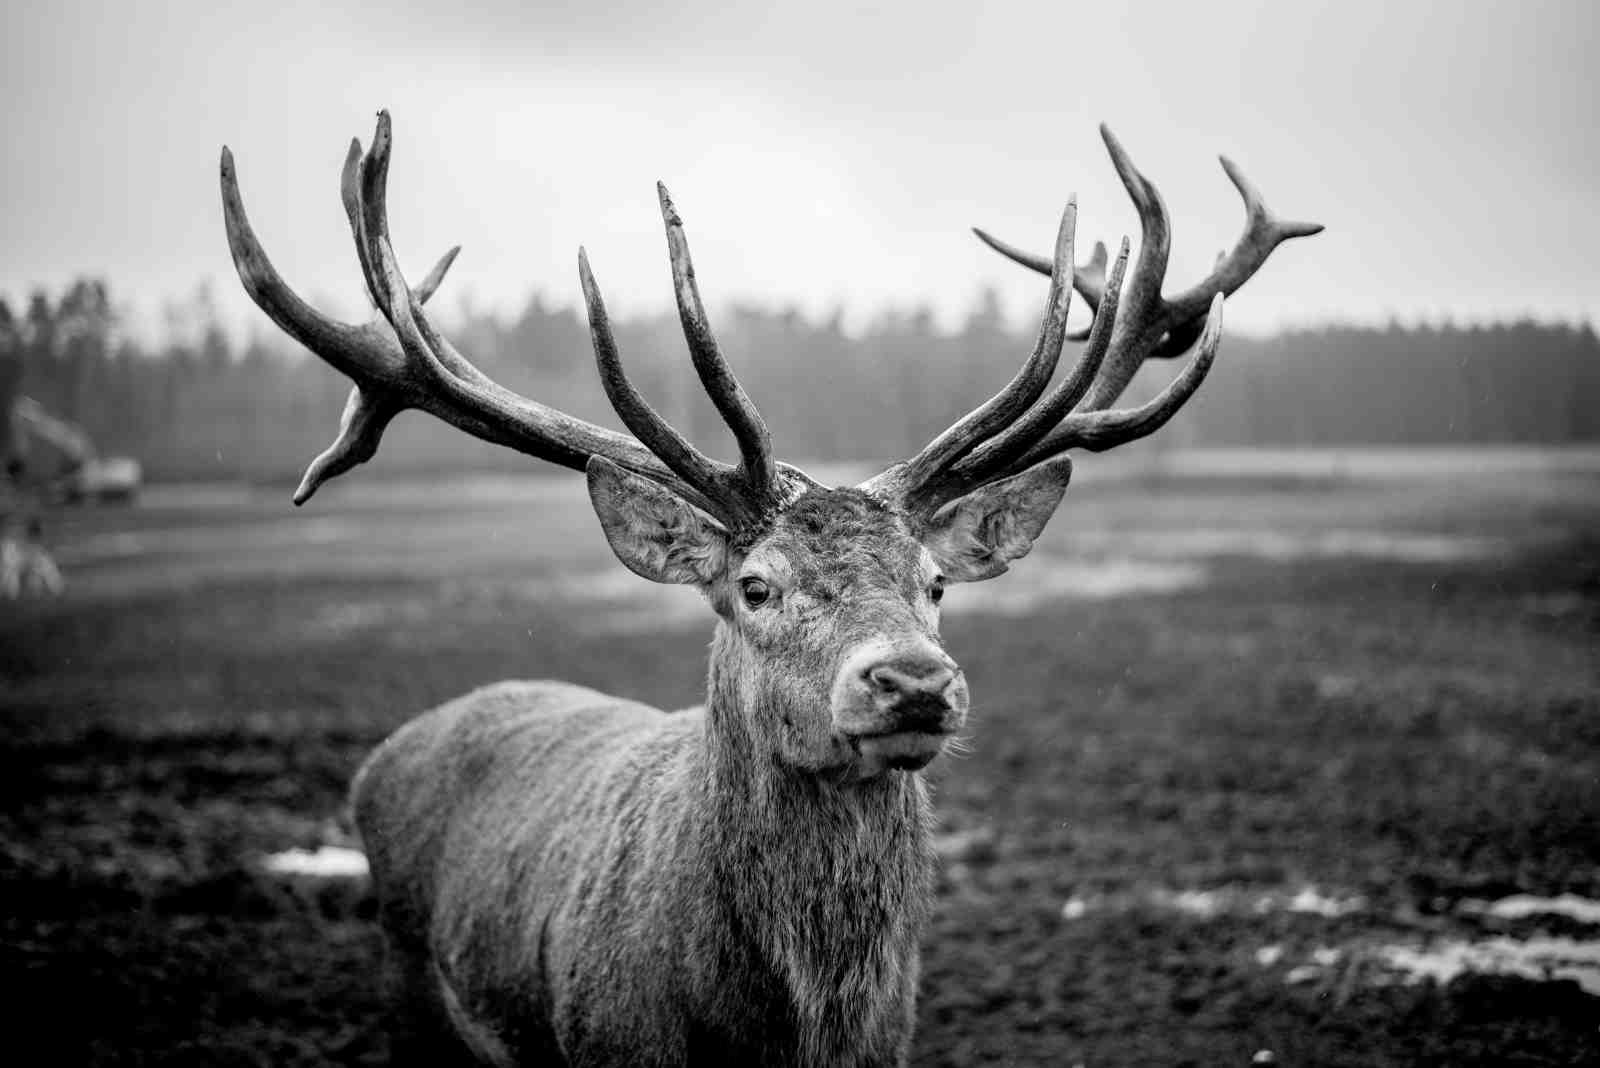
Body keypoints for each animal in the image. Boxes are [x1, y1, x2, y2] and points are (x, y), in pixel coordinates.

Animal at [219, 110, 1320, 1067]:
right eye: (755, 585)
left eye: (934, 584)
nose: (914, 683)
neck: (782, 1034)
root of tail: (384, 756)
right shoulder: (609, 1038)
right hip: (409, 986)